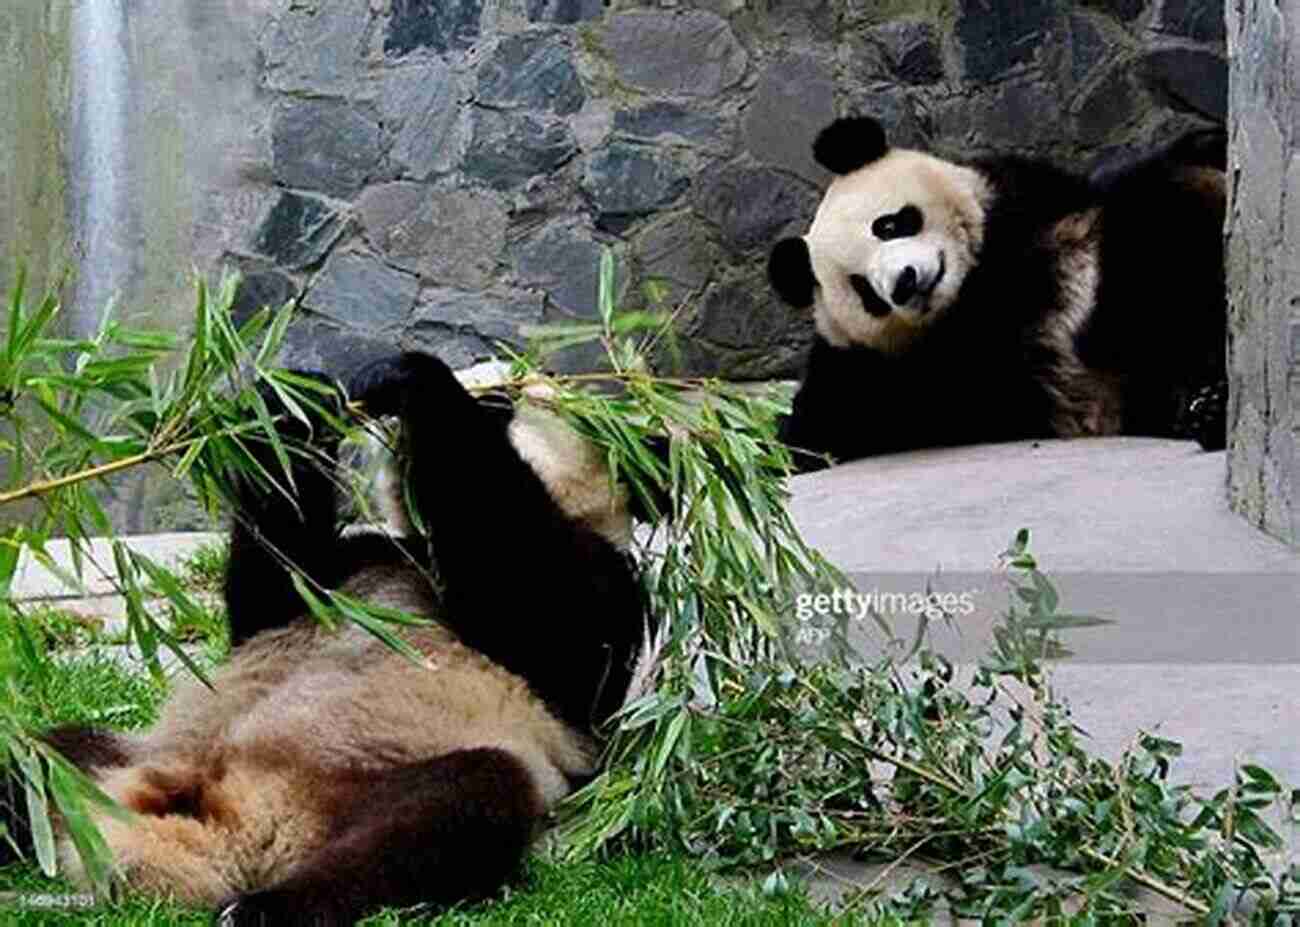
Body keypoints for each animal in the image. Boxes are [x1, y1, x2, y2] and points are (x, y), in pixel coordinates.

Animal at [0, 353, 650, 925]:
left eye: (501, 403)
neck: (421, 546)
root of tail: (227, 837)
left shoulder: (601, 594)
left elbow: (531, 590)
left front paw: (408, 378)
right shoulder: (357, 562)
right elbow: (273, 591)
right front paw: (299, 402)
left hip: (370, 783)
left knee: (454, 810)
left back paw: (261, 910)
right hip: (114, 762)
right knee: (32, 758)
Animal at [764, 116, 1232, 473]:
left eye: (889, 225)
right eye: (864, 290)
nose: (905, 283)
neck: (969, 287)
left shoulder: (1029, 201)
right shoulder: (880, 366)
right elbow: (828, 421)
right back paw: (1208, 410)